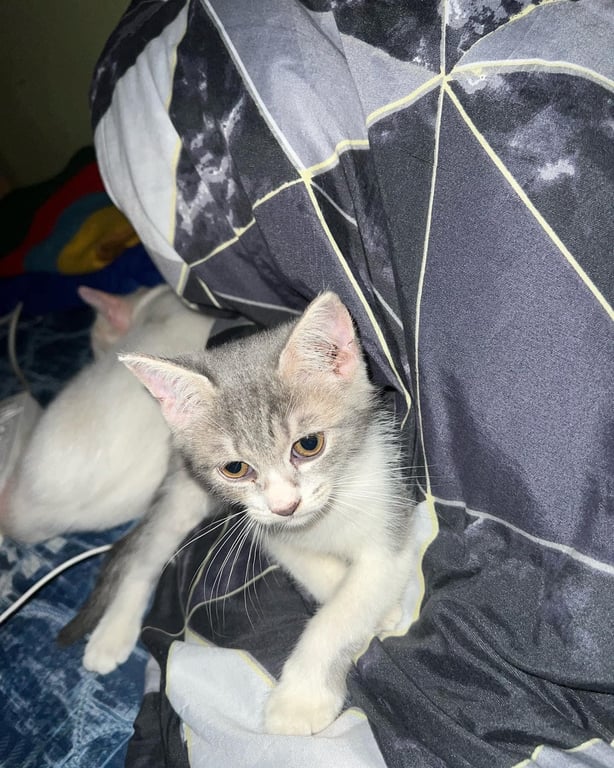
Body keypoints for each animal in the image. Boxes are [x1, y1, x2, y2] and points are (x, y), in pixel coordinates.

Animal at [63, 291, 419, 735]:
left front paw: (301, 696)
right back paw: (112, 634)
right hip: (185, 491)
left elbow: (345, 608)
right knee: (148, 555)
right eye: (235, 468)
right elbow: (322, 579)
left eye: (309, 445)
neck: (326, 511)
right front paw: (302, 699)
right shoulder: (263, 525)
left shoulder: (390, 514)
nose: (286, 505)